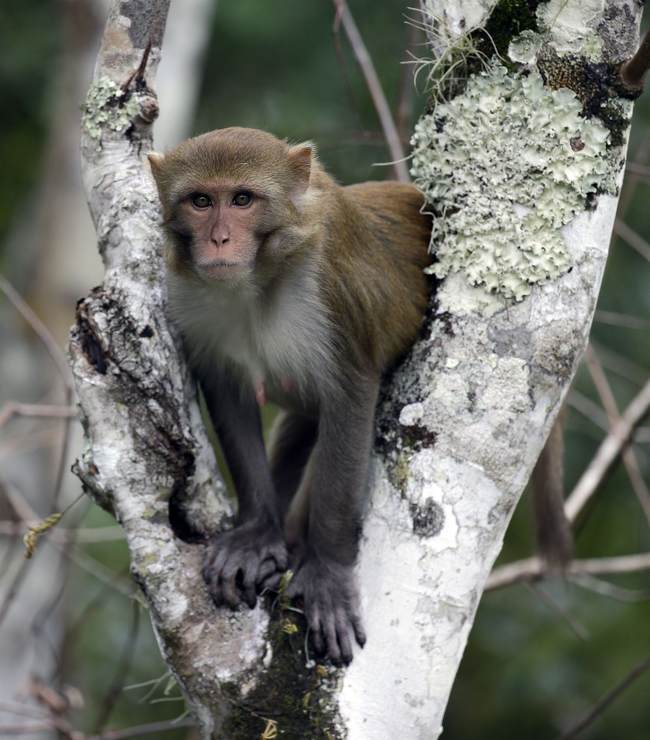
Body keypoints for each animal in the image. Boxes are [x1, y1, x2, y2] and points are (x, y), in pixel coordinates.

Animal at [149, 127, 432, 664]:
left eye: (242, 200)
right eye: (200, 201)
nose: (218, 239)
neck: (259, 279)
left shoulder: (334, 290)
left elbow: (351, 393)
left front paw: (327, 572)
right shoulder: (190, 298)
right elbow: (228, 393)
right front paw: (258, 534)